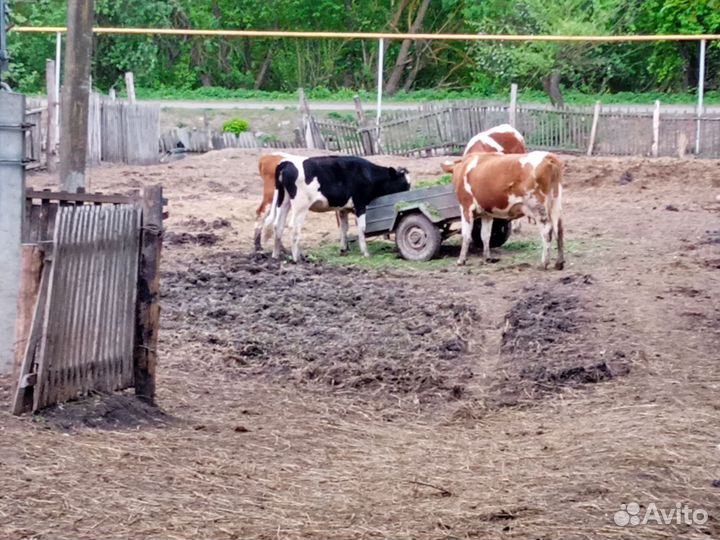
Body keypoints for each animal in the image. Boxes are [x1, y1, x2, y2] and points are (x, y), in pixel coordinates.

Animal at [266, 155, 411, 262]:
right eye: (404, 185)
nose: (407, 197)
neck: (367, 174)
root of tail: (285, 163)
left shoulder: (343, 208)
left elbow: (343, 228)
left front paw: (343, 249)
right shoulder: (360, 204)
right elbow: (361, 228)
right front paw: (365, 252)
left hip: (283, 201)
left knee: (278, 225)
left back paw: (276, 255)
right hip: (300, 205)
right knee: (293, 226)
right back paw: (297, 258)